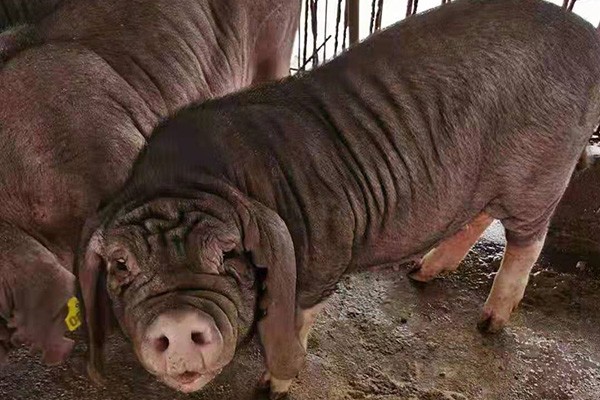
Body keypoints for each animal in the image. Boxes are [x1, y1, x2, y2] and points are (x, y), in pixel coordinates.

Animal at [77, 0, 600, 398]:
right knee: (477, 215)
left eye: (228, 253)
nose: (179, 320)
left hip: (539, 170)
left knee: (528, 240)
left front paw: (269, 386)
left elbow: (298, 314)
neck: (193, 178)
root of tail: (588, 35)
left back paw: (489, 324)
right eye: (121, 265)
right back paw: (420, 273)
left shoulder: (323, 251)